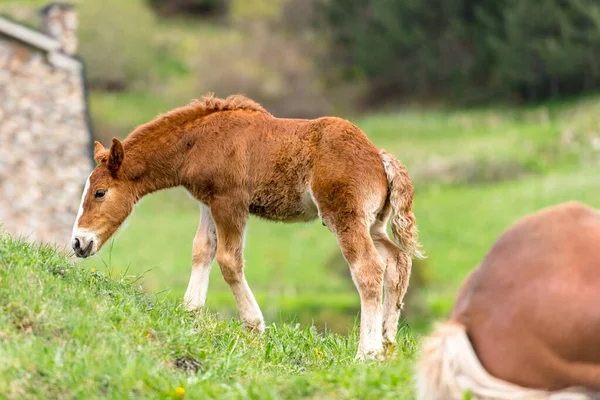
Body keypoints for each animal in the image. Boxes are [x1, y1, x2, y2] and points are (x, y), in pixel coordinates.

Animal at [70, 94, 422, 360]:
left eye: (100, 192)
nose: (78, 242)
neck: (197, 141)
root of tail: (379, 155)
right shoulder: (208, 202)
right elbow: (202, 251)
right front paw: (191, 312)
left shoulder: (231, 202)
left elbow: (228, 260)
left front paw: (253, 325)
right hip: (373, 222)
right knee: (398, 261)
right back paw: (388, 343)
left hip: (344, 216)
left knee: (368, 268)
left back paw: (367, 352)